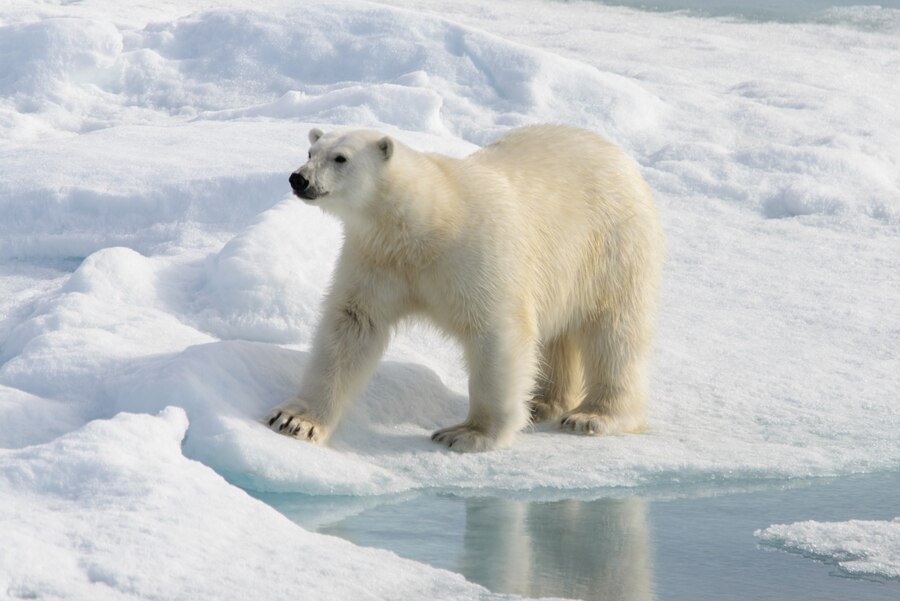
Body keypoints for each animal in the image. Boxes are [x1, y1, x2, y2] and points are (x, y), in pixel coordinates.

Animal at [264, 124, 664, 450]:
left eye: (341, 158)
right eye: (311, 152)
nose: (298, 179)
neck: (424, 223)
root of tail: (615, 153)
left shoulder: (475, 256)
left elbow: (497, 332)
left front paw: (468, 434)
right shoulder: (376, 260)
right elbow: (351, 327)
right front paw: (295, 420)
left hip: (611, 246)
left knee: (613, 332)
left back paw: (592, 415)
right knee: (558, 335)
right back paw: (541, 403)